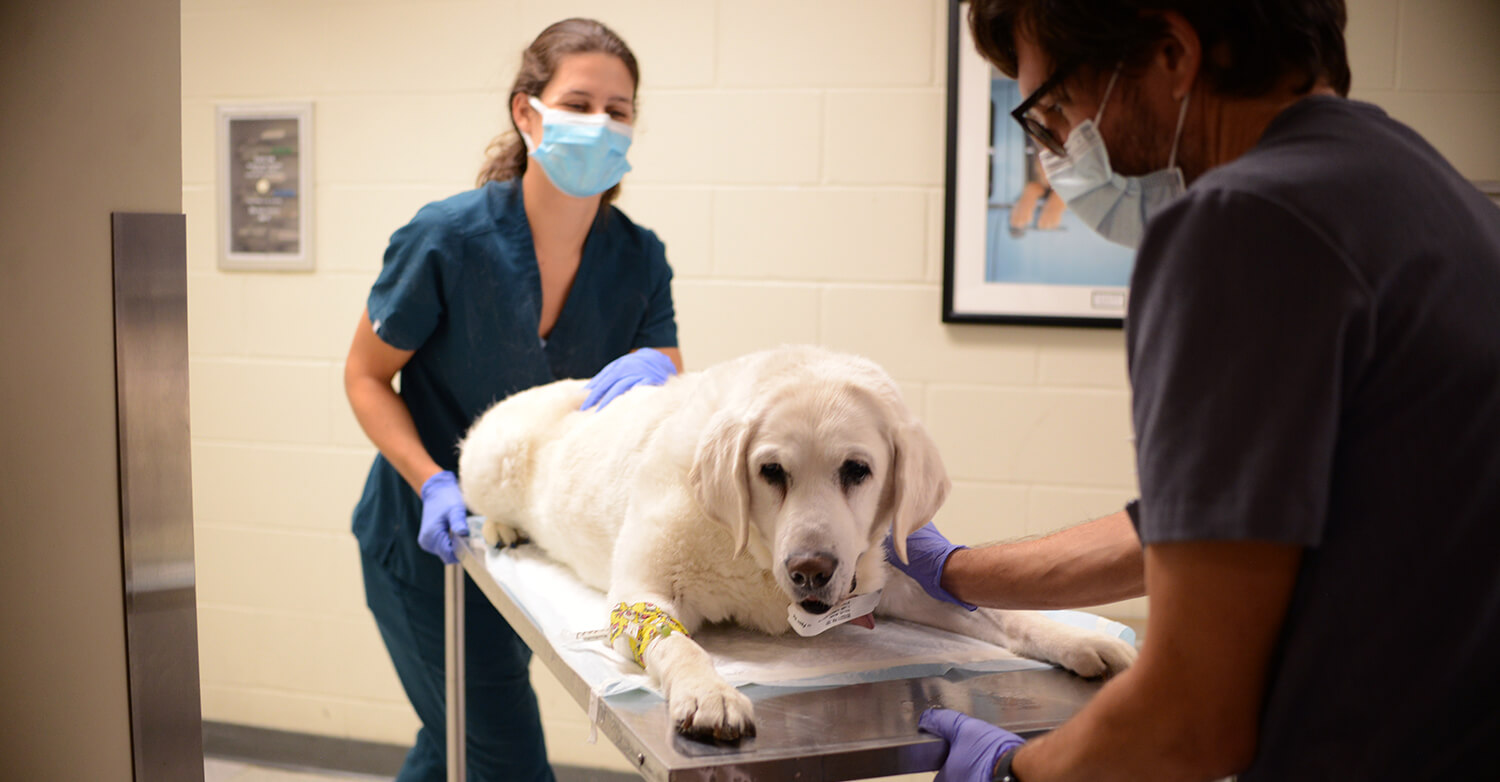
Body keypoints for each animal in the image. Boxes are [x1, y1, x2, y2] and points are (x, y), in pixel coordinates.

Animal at [456, 346, 1134, 738]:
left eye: (857, 470)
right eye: (770, 471)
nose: (811, 569)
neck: (754, 556)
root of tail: (568, 383)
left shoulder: (881, 582)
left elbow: (1001, 612)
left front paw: (1080, 639)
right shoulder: (641, 591)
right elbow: (677, 645)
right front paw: (710, 694)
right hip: (489, 458)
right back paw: (499, 528)